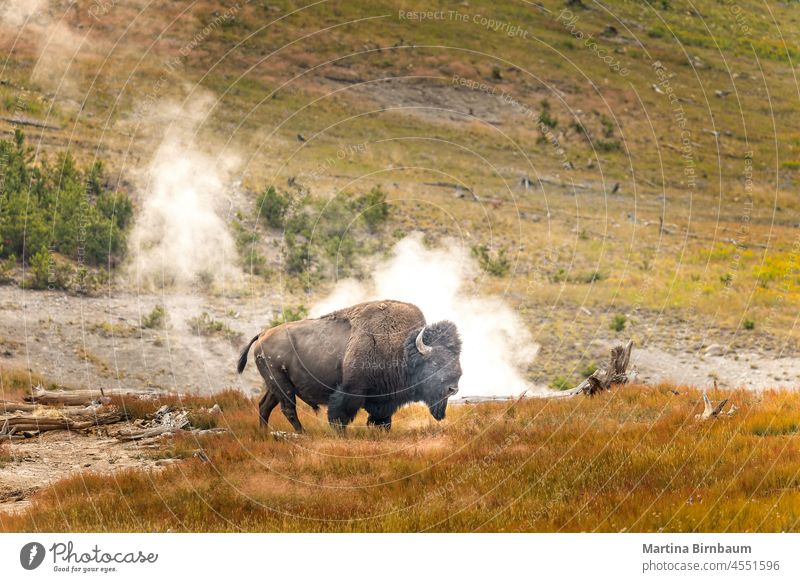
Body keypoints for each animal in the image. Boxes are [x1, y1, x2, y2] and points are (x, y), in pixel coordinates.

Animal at [236, 302, 462, 434]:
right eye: (435, 362)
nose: (453, 388)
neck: (402, 348)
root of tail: (263, 334)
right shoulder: (350, 391)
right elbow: (339, 416)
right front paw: (340, 435)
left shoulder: (384, 400)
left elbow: (383, 420)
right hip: (282, 385)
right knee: (288, 409)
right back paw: (302, 434)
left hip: (275, 386)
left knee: (265, 406)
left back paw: (265, 433)